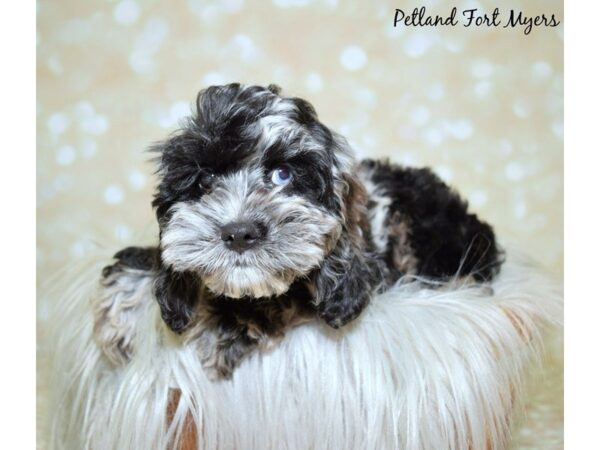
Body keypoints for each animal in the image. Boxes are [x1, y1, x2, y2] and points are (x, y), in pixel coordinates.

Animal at [97, 82, 502, 378]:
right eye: (205, 181)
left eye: (283, 174)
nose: (239, 232)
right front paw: (118, 312)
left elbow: (287, 300)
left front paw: (227, 325)